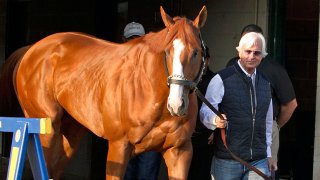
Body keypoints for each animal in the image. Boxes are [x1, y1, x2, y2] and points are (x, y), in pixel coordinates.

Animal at [3, 5, 209, 180]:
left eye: (196, 52)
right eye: (167, 51)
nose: (176, 104)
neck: (149, 90)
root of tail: (31, 50)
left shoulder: (179, 152)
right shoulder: (119, 147)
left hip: (71, 131)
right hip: (45, 129)